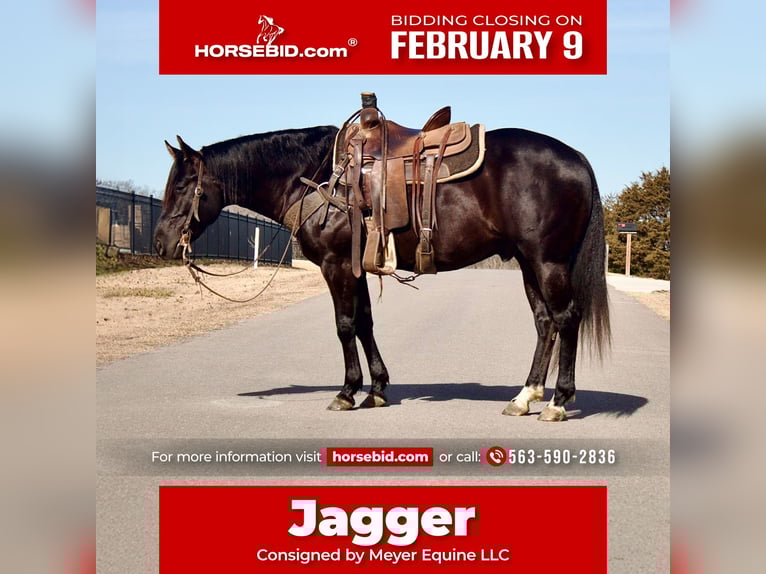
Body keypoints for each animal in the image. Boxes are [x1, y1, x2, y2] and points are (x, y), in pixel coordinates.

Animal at [153, 122, 610, 422]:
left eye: (182, 186)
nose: (160, 243)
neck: (317, 178)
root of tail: (576, 157)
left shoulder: (336, 264)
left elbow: (344, 325)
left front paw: (346, 392)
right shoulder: (355, 268)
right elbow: (365, 323)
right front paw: (376, 389)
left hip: (547, 261)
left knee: (566, 318)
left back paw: (558, 402)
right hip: (528, 263)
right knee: (545, 323)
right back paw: (525, 396)